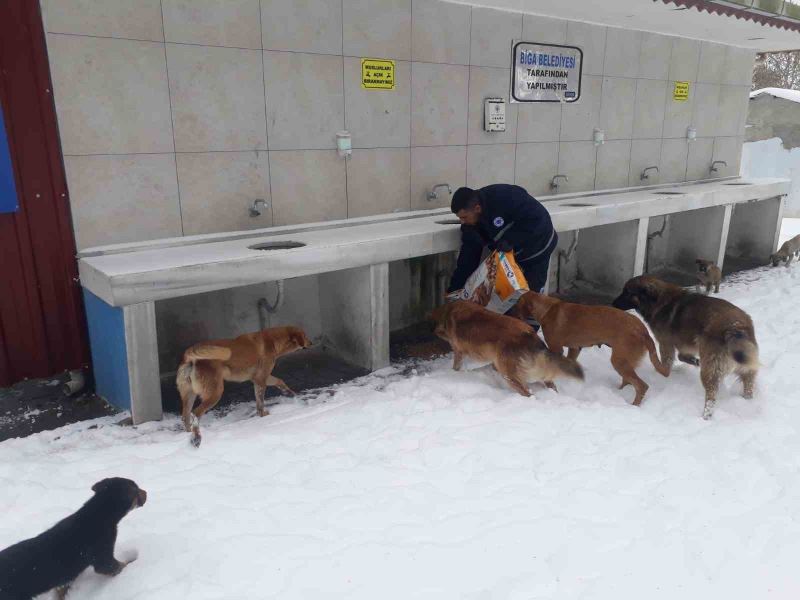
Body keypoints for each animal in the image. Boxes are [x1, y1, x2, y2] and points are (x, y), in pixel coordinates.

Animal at [0, 478, 147, 600]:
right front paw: (131, 564)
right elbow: (119, 565)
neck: (100, 514)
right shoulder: (102, 556)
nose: (146, 492)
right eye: (136, 489)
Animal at [177, 328, 310, 446]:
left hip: (189, 395)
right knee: (196, 413)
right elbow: (260, 403)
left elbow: (280, 381)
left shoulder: (259, 378)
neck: (272, 341)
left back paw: (188, 434)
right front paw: (263, 416)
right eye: (305, 335)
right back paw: (196, 438)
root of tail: (191, 358)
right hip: (215, 393)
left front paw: (291, 394)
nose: (312, 343)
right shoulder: (261, 379)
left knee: (185, 417)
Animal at [432, 298, 580, 394]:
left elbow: (456, 365)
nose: (435, 331)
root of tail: (530, 334)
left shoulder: (458, 351)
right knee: (551, 385)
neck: (452, 310)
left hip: (508, 373)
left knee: (528, 393)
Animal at [512, 290, 668, 406]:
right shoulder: (575, 348)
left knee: (641, 386)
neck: (548, 309)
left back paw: (633, 405)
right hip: (625, 360)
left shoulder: (556, 348)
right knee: (628, 381)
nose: (511, 316)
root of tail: (643, 331)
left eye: (517, 305)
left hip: (619, 361)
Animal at [616, 276, 760, 420]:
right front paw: (695, 362)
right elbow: (682, 356)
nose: (613, 303)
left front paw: (664, 376)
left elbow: (666, 364)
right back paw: (747, 403)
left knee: (711, 396)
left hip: (711, 371)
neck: (658, 300)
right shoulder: (686, 344)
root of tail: (737, 327)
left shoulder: (666, 343)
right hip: (745, 368)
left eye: (627, 292)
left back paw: (705, 416)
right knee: (748, 387)